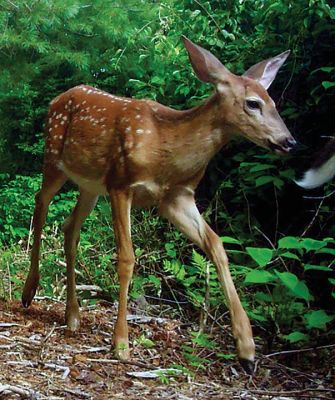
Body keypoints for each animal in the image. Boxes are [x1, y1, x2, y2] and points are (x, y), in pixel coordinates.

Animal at [21, 36, 296, 374]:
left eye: (274, 102)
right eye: (253, 103)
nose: (289, 141)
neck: (167, 149)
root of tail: (59, 98)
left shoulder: (175, 198)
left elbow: (217, 245)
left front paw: (246, 348)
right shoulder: (121, 184)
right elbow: (127, 258)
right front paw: (121, 344)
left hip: (90, 185)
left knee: (70, 228)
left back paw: (72, 315)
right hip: (54, 159)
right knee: (41, 203)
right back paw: (29, 291)